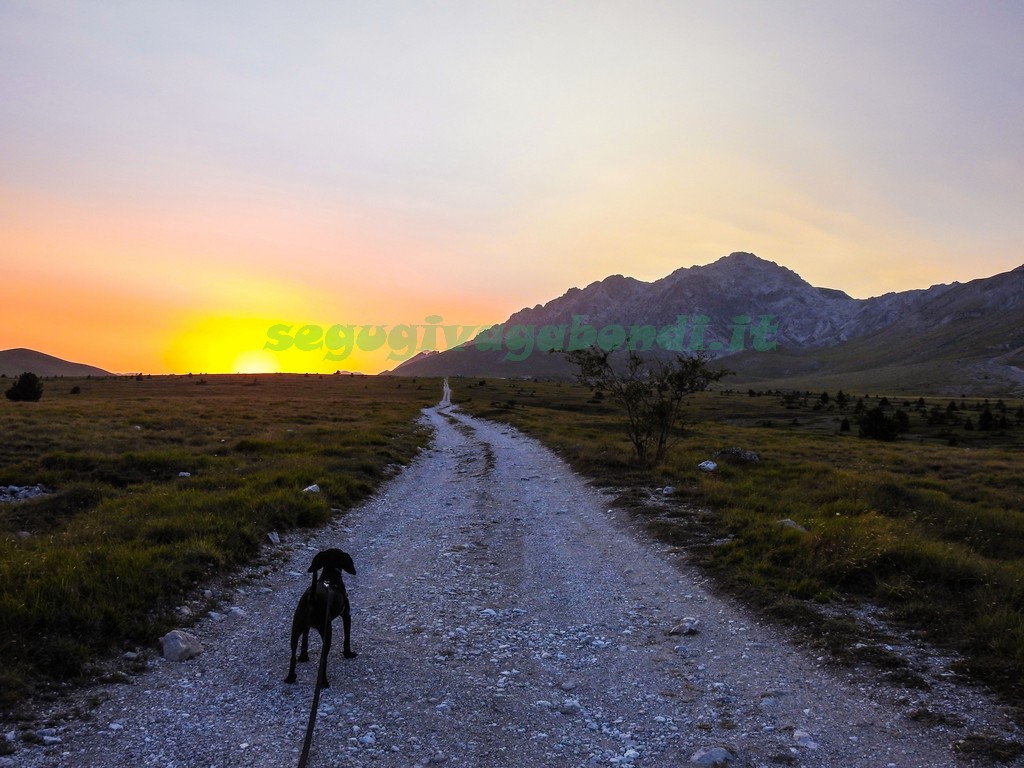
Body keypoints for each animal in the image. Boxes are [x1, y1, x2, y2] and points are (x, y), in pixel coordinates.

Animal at [284, 548, 356, 688]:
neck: (330, 577)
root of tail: (312, 598)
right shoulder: (347, 615)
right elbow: (347, 638)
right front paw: (348, 654)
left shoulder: (306, 627)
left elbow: (305, 641)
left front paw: (303, 656)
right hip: (327, 631)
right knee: (323, 659)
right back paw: (324, 682)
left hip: (295, 628)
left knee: (292, 655)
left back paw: (290, 677)